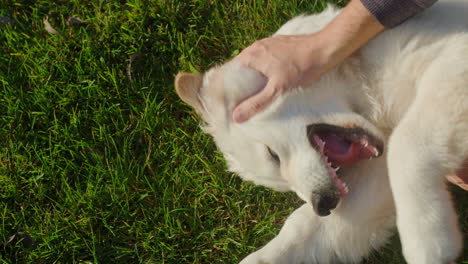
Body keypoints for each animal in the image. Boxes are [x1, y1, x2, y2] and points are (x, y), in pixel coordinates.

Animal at [175, 1, 464, 262]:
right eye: (284, 188)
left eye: (272, 155)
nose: (323, 205)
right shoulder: (376, 175)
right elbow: (303, 228)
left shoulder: (453, 62)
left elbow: (407, 145)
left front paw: (428, 239)